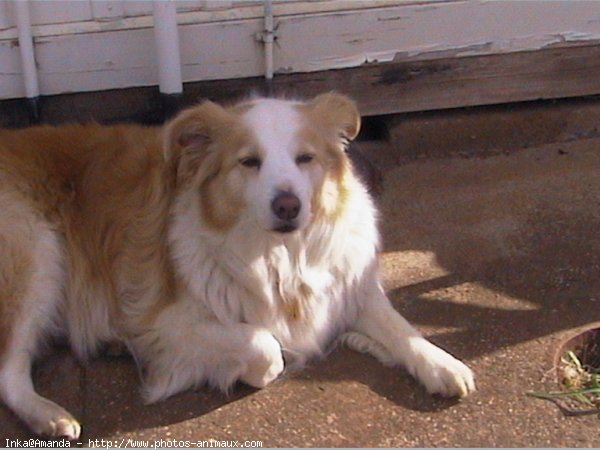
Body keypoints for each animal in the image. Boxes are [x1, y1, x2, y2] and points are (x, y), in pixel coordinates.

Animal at [0, 92, 474, 440]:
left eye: (306, 158)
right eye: (249, 162)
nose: (288, 205)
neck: (280, 256)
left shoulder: (346, 283)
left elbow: (401, 327)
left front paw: (441, 364)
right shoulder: (163, 322)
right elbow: (266, 347)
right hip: (37, 253)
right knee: (8, 370)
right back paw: (50, 414)